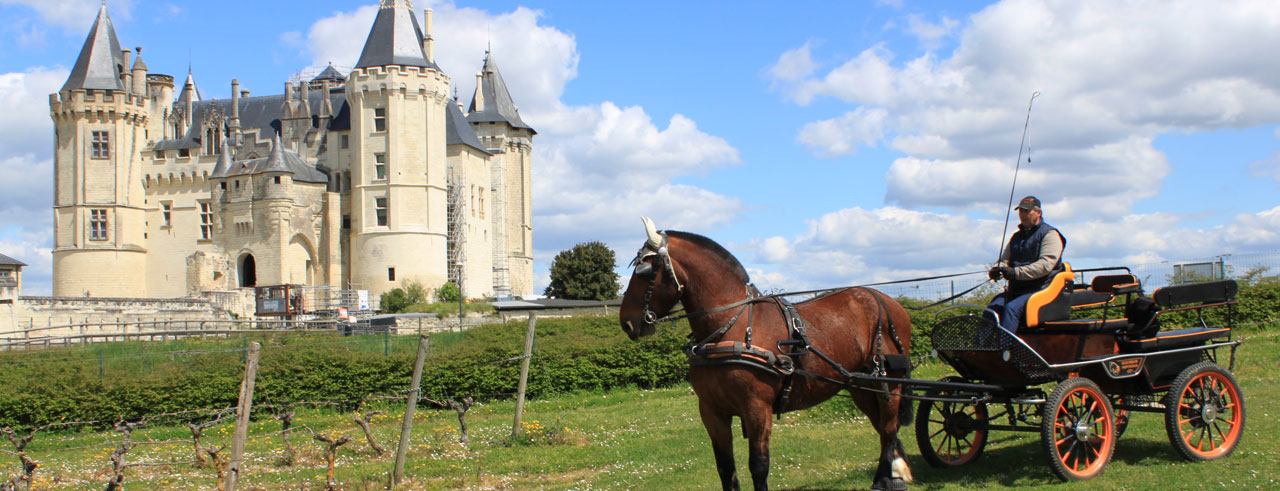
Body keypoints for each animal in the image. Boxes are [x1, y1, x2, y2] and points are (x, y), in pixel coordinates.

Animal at [616, 218, 911, 491]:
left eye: (643, 270)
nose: (626, 323)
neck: (731, 328)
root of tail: (889, 302)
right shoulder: (711, 410)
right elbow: (725, 467)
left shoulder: (757, 407)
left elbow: (758, 465)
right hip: (860, 385)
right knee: (883, 428)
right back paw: (892, 475)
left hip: (889, 382)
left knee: (888, 427)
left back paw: (885, 479)